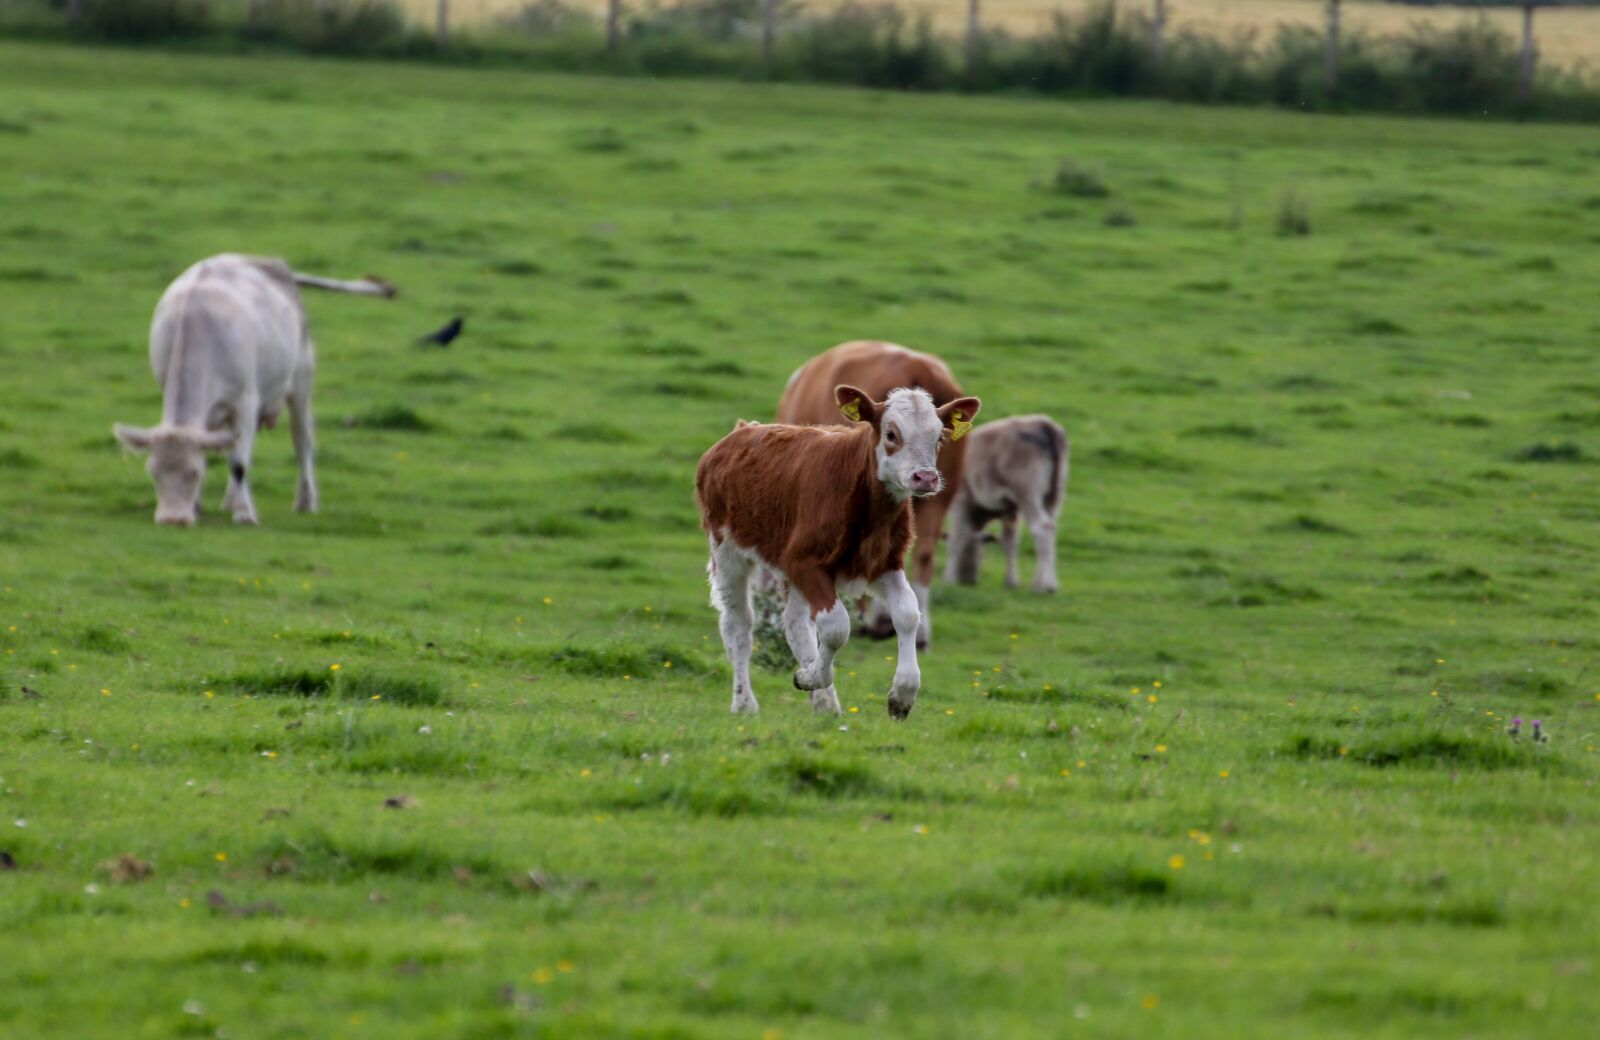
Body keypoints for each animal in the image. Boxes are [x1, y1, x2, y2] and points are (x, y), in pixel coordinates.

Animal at [113, 254, 394, 526]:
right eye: (153, 472)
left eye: (193, 473)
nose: (172, 520)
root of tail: (272, 262)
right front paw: (199, 506)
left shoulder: (245, 401)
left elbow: (239, 464)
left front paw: (244, 514)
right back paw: (230, 500)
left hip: (301, 381)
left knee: (302, 440)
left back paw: (304, 501)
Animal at [697, 385, 980, 719]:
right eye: (891, 434)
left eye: (939, 439)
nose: (925, 478)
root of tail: (742, 430)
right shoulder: (805, 562)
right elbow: (835, 627)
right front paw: (809, 676)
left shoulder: (884, 562)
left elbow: (908, 614)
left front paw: (903, 694)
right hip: (727, 548)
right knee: (738, 624)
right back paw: (745, 703)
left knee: (795, 624)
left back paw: (825, 703)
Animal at [945, 415, 1068, 594]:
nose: (968, 581)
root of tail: (1042, 423)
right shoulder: (1010, 510)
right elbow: (1010, 543)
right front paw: (1011, 581)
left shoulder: (961, 500)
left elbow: (957, 538)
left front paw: (948, 579)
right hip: (1053, 497)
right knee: (1051, 529)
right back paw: (1040, 582)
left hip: (1027, 493)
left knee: (1042, 528)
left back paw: (1046, 586)